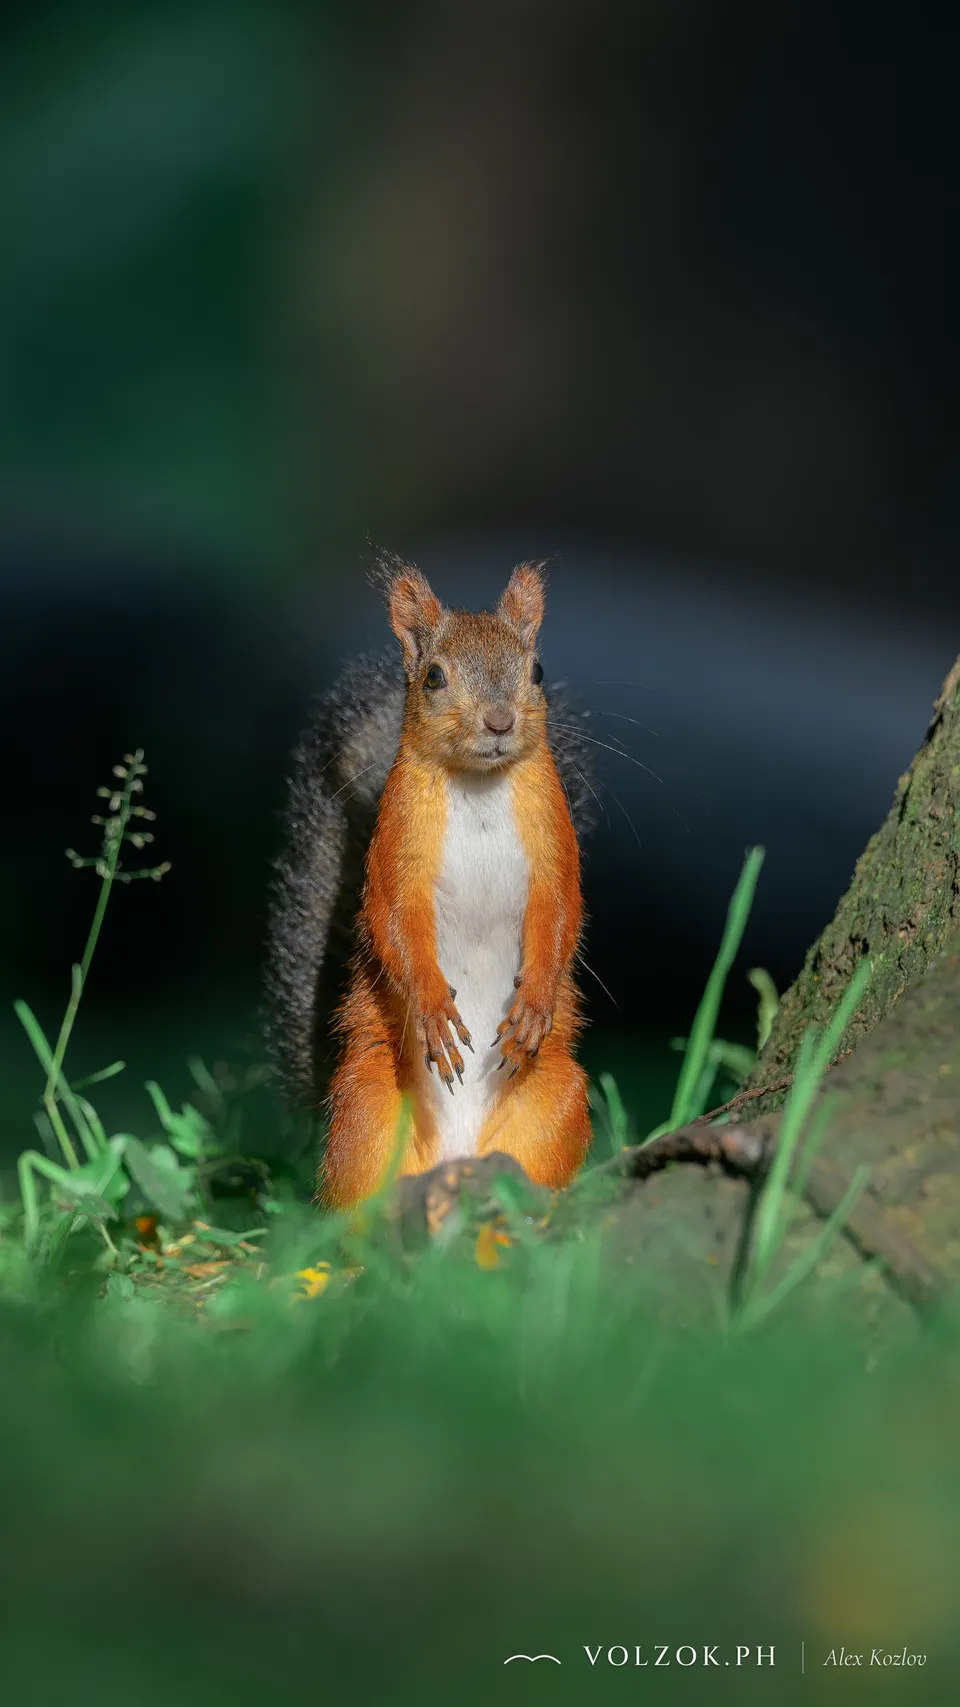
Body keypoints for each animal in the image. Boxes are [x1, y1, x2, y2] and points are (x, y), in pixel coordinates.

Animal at [264, 556, 596, 1206]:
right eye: (433, 677)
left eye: (537, 669)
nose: (499, 722)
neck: (480, 786)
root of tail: (456, 1159)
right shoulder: (397, 841)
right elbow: (391, 916)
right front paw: (432, 1007)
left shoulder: (554, 841)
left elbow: (562, 908)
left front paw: (536, 1002)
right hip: (366, 1113)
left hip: (557, 1102)